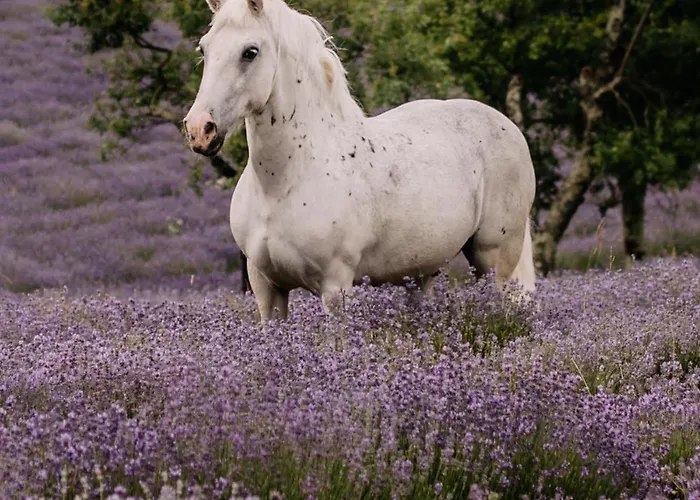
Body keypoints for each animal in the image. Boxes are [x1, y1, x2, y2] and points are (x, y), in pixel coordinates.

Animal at [184, 0, 536, 322]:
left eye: (250, 52)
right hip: (419, 273)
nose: (200, 129)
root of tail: (507, 126)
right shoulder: (267, 289)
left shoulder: (335, 288)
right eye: (204, 48)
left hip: (493, 261)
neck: (283, 183)